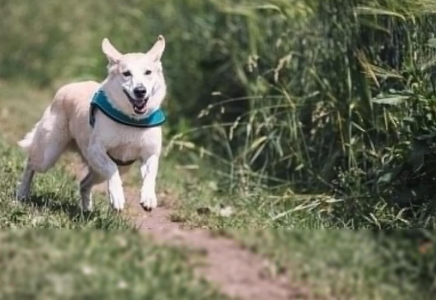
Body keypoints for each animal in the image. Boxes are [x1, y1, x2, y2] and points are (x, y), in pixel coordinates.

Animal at [15, 36, 167, 212]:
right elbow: (111, 168)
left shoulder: (150, 154)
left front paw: (148, 198)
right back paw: (22, 194)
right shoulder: (95, 150)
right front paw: (117, 197)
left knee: (84, 183)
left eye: (148, 72)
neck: (131, 120)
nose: (140, 91)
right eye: (126, 73)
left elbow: (151, 175)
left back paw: (87, 211)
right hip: (48, 153)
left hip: (112, 169)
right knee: (31, 163)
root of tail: (67, 87)